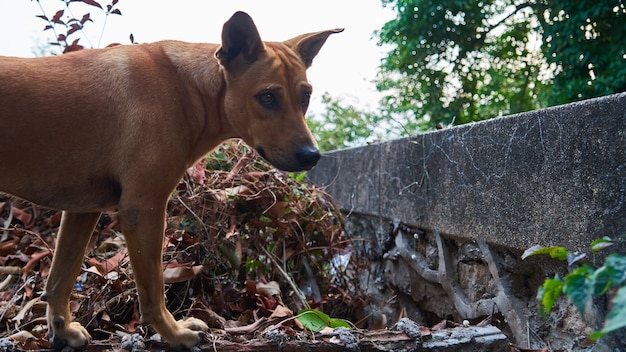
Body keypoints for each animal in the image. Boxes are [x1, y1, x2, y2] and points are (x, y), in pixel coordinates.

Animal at [0, 11, 342, 350]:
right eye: (267, 97)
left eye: (305, 97)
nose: (312, 156)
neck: (191, 89)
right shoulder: (143, 210)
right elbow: (153, 292)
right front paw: (175, 334)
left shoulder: (82, 211)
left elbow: (61, 279)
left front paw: (62, 330)